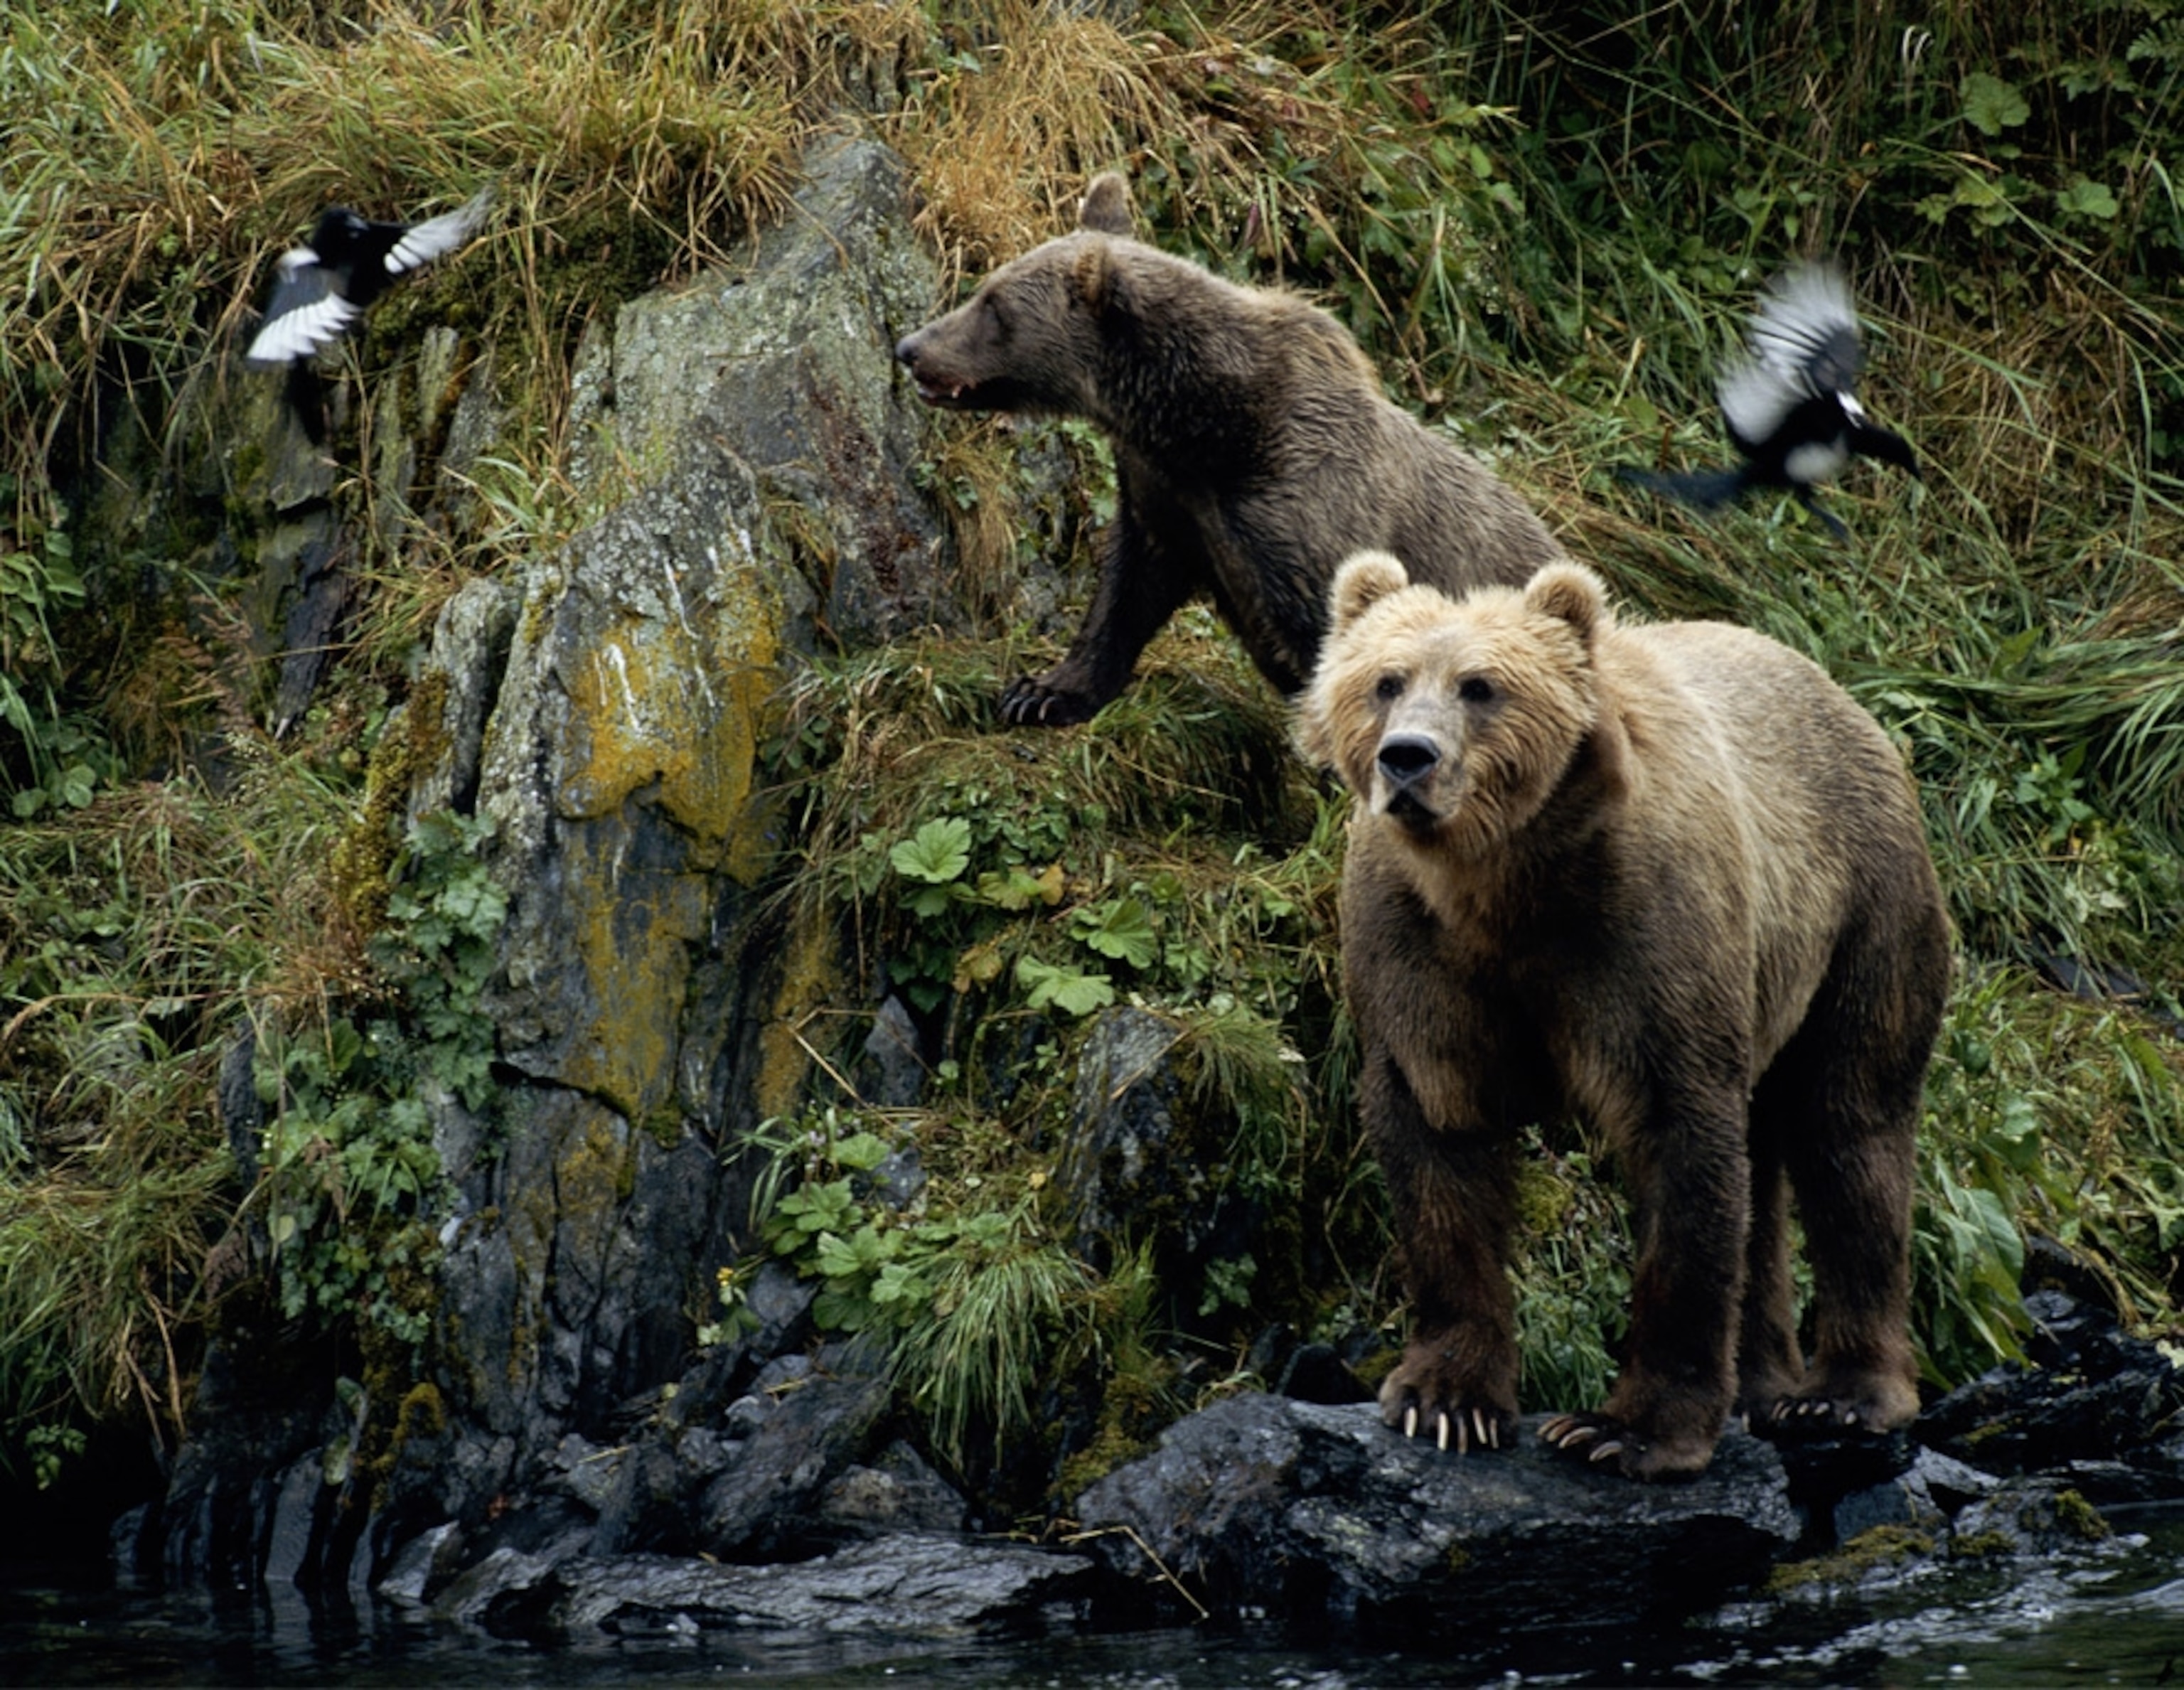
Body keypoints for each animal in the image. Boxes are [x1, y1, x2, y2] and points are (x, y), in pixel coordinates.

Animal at [894, 173, 1565, 725]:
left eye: (993, 305)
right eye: (986, 289)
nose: (910, 347)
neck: (1207, 426)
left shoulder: (1307, 509)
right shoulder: (1168, 496)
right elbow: (1126, 589)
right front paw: (1041, 692)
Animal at [1296, 549, 1952, 1481]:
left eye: (1481, 686)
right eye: (1384, 680)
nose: (1408, 758)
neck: (1506, 884)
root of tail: (1836, 688)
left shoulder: (1642, 937)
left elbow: (1682, 1151)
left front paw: (1624, 1430)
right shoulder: (1418, 948)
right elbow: (1438, 1139)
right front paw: (1446, 1401)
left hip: (1862, 907)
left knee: (1851, 1126)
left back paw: (1843, 1393)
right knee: (1769, 1165)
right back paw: (1761, 1384)